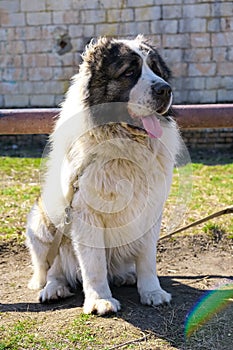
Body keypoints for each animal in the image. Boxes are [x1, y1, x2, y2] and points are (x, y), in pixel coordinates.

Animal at [26, 34, 182, 314]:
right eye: (129, 72)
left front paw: (152, 292)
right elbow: (94, 263)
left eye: (156, 70)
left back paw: (125, 276)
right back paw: (54, 288)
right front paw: (100, 299)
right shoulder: (84, 212)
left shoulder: (150, 211)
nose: (165, 89)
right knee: (53, 268)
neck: (123, 144)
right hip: (41, 223)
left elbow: (147, 259)